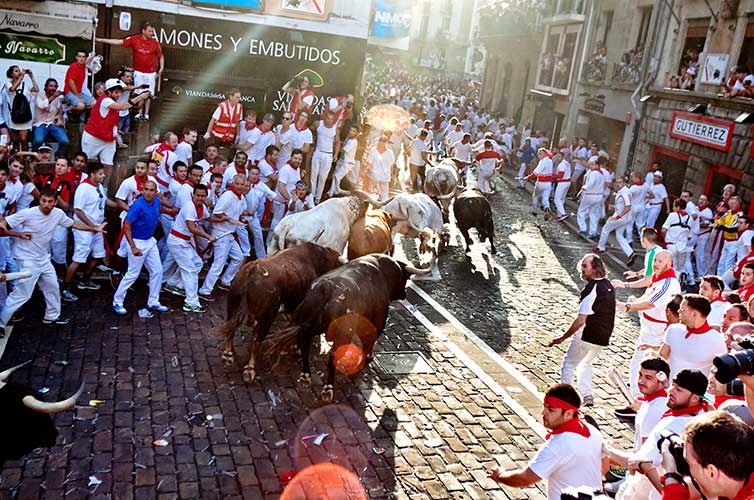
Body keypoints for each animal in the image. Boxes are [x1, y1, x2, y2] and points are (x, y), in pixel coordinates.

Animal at [217, 242, 344, 382]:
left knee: (231, 329)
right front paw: (295, 349)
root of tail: (252, 271)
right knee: (256, 339)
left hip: (232, 307)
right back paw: (249, 370)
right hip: (266, 318)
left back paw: (228, 355)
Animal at [262, 256, 432, 400]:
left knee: (305, 348)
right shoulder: (377, 321)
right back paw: (328, 389)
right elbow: (369, 340)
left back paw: (306, 376)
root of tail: (325, 289)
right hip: (342, 335)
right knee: (332, 358)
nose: (405, 294)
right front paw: (368, 357)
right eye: (406, 278)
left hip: (307, 327)